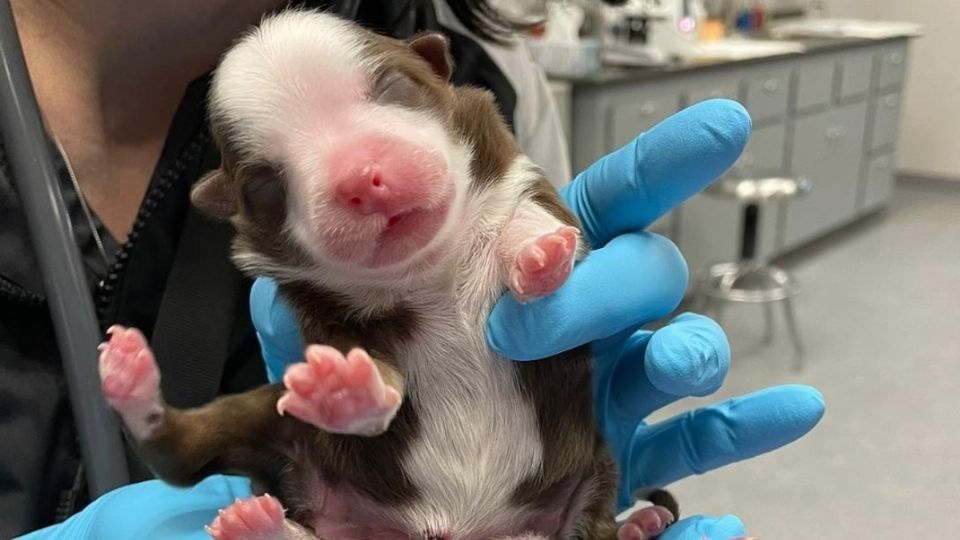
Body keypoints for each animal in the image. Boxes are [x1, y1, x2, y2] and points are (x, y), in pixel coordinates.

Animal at [99, 9, 676, 540]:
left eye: (395, 88)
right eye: (265, 185)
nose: (359, 179)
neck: (429, 270)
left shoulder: (517, 175)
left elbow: (532, 217)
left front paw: (537, 256)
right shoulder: (324, 314)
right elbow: (370, 366)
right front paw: (345, 390)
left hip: (592, 478)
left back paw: (639, 522)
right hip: (273, 419)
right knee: (181, 454)